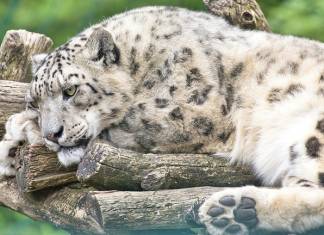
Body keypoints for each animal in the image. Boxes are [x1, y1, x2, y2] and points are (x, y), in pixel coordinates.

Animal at [1, 5, 324, 235]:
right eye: (35, 101)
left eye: (70, 90)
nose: (52, 134)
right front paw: (12, 146)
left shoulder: (193, 111)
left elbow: (128, 121)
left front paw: (20, 128)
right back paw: (237, 212)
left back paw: (231, 209)